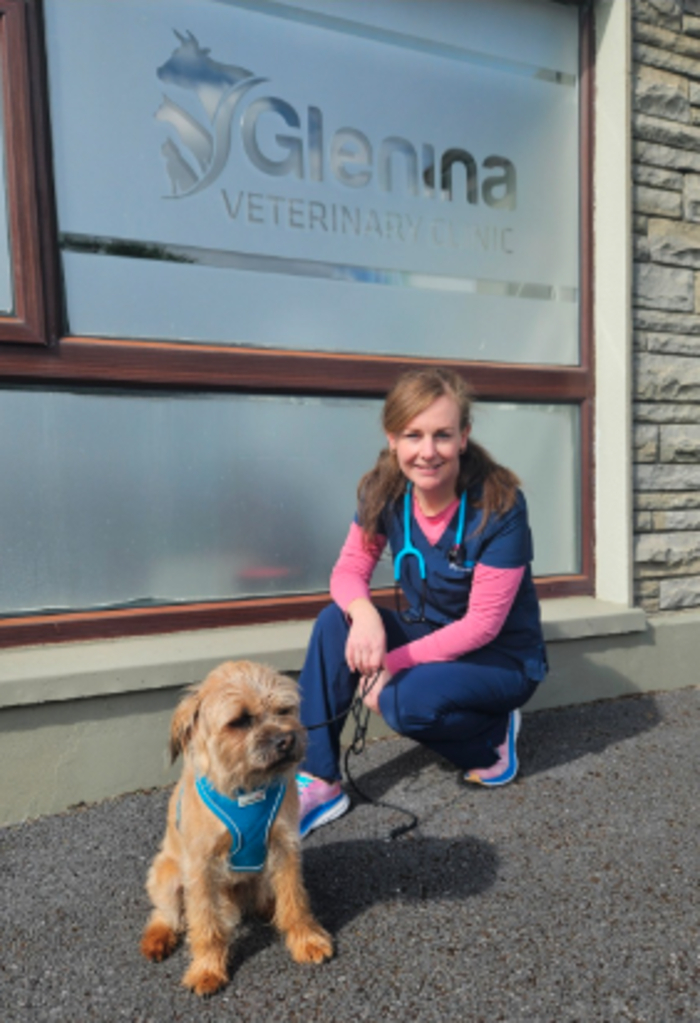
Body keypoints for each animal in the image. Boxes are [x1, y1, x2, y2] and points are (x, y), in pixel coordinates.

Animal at [140, 658, 333, 994]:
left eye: (284, 710)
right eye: (240, 721)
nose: (287, 740)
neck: (247, 786)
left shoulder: (285, 848)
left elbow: (295, 902)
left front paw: (306, 940)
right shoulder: (200, 868)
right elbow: (205, 924)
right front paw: (207, 969)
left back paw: (269, 907)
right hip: (167, 873)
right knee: (167, 914)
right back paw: (158, 937)